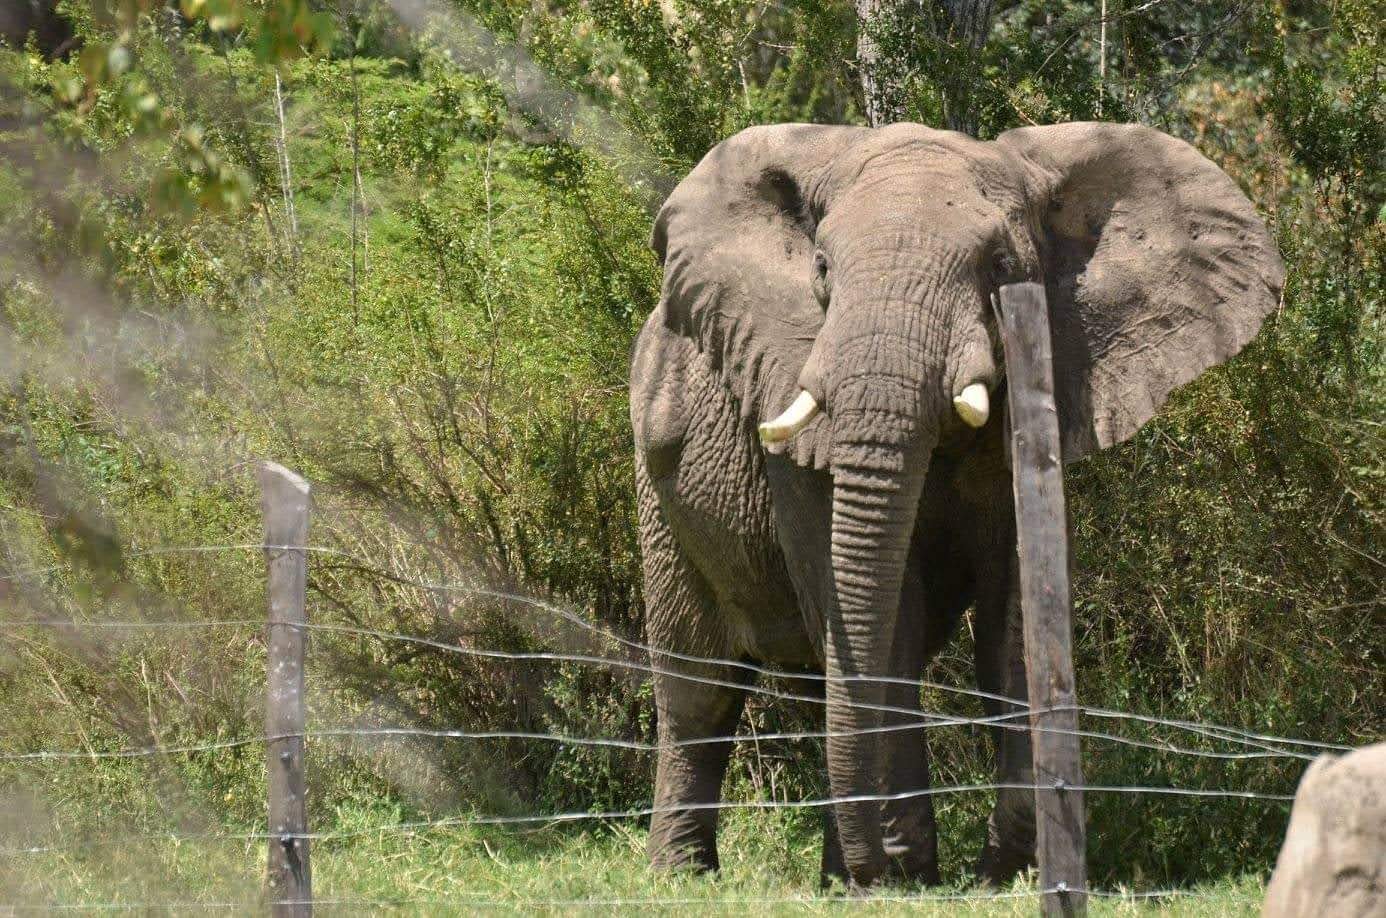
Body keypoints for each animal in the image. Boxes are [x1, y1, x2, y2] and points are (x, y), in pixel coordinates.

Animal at [628, 121, 1283, 888]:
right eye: (821, 268)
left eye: (1000, 265)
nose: (883, 871)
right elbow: (890, 624)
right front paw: (911, 873)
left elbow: (1014, 623)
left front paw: (1004, 871)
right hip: (657, 494)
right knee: (700, 689)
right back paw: (687, 876)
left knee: (818, 680)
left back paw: (835, 875)